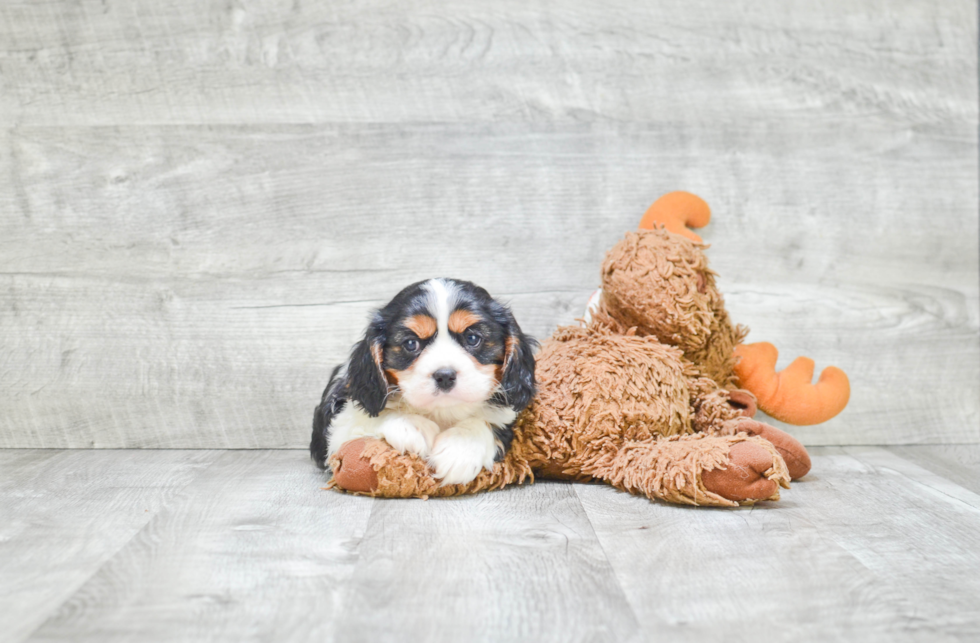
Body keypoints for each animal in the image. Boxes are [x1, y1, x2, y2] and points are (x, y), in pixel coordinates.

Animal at [308, 280, 536, 486]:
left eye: (472, 338)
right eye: (411, 344)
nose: (444, 375)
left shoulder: (506, 417)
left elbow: (488, 423)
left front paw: (461, 448)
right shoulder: (337, 427)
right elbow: (369, 416)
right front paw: (411, 426)